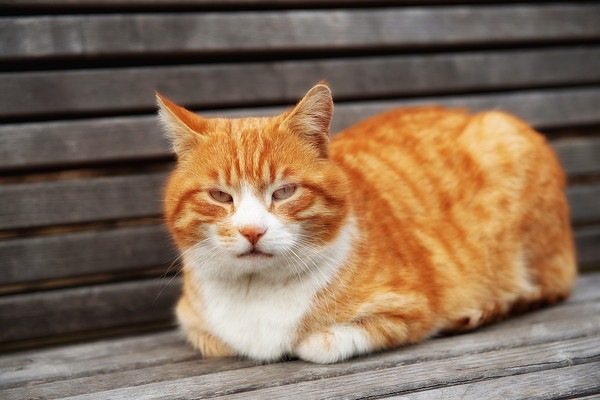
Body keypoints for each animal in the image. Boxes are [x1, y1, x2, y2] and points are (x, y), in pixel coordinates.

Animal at [155, 83, 576, 364]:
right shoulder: (194, 323)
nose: (252, 231)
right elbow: (215, 342)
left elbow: (322, 345)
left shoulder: (410, 310)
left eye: (284, 191)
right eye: (220, 196)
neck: (255, 291)